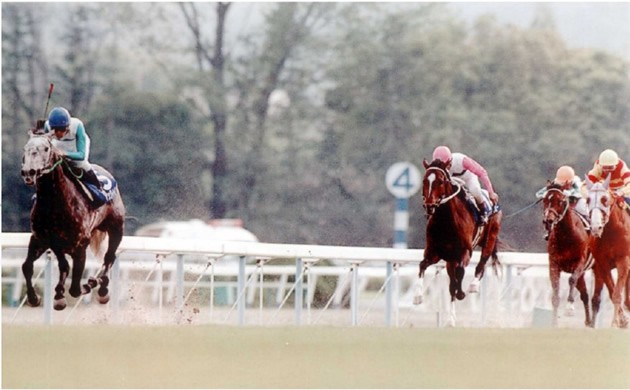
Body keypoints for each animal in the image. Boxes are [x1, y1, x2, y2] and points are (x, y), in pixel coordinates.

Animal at [20, 133, 126, 310]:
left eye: (46, 148)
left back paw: (102, 288)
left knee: (109, 258)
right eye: (26, 148)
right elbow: (28, 266)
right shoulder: (40, 239)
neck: (55, 204)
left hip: (116, 228)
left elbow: (75, 287)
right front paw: (35, 298)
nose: (29, 171)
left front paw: (86, 285)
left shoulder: (80, 244)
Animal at [414, 158, 504, 326]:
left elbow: (461, 272)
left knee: (482, 263)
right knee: (451, 284)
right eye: (424, 180)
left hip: (490, 238)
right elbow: (422, 265)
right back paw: (450, 320)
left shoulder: (465, 252)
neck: (446, 222)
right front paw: (417, 296)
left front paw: (461, 292)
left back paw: (473, 285)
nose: (429, 206)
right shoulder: (434, 253)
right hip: (450, 260)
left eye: (440, 181)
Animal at [540, 183, 596, 326]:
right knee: (585, 295)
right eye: (545, 200)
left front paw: (569, 306)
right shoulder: (554, 264)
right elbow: (555, 293)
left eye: (561, 201)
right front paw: (554, 322)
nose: (548, 221)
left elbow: (571, 280)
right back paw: (588, 321)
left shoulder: (579, 262)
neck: (567, 235)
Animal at [588, 177, 630, 330]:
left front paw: (615, 322)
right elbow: (613, 293)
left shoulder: (623, 260)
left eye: (604, 199)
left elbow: (617, 293)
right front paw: (622, 321)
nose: (596, 227)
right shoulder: (602, 264)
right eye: (588, 199)